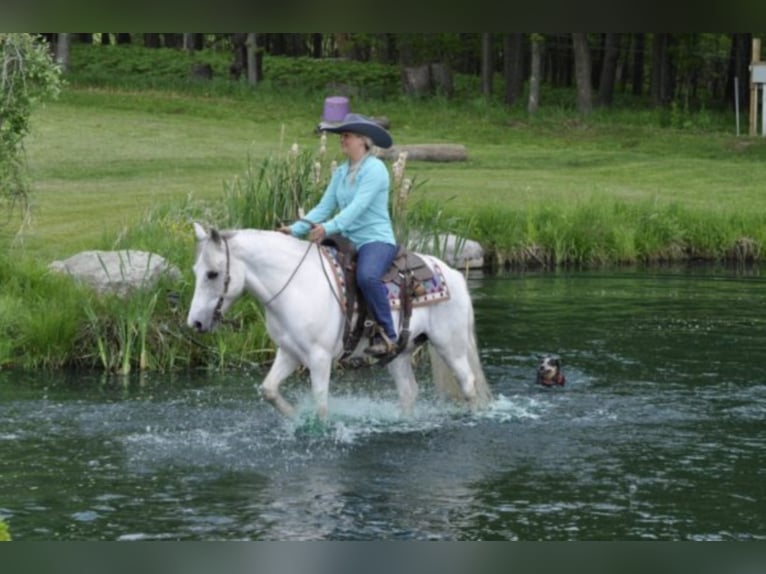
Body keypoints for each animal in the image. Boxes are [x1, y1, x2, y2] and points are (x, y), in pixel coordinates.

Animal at [189, 223, 496, 420]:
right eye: (196, 270)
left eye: (213, 274)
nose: (196, 323)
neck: (296, 286)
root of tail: (452, 274)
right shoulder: (289, 353)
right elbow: (269, 390)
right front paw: (294, 418)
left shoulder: (319, 357)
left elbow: (321, 403)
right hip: (400, 352)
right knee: (409, 391)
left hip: (450, 346)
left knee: (468, 384)